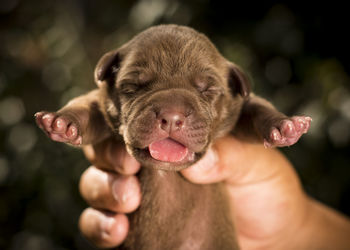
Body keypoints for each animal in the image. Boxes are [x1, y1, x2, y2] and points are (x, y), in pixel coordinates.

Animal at [34, 24, 310, 250]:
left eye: (208, 90)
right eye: (132, 87)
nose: (171, 115)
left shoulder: (241, 109)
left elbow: (258, 110)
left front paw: (284, 126)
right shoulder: (102, 106)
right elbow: (85, 106)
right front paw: (63, 122)